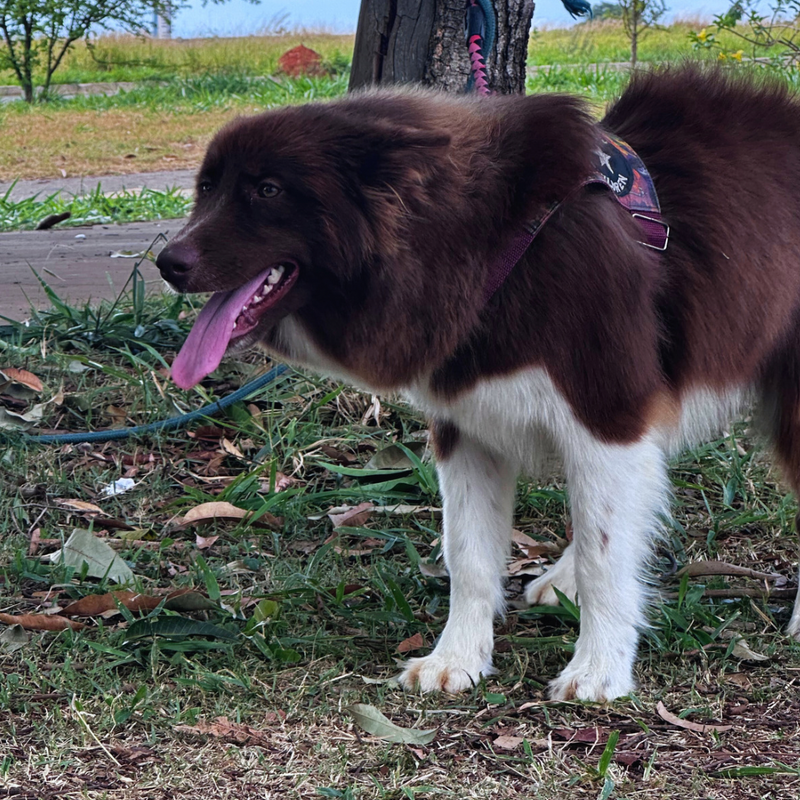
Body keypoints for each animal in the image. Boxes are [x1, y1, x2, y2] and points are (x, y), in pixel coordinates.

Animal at [158, 69, 800, 700]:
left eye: (268, 190)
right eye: (207, 188)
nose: (168, 264)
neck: (498, 242)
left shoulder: (607, 412)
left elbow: (606, 556)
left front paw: (599, 669)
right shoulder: (466, 426)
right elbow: (467, 553)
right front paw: (457, 658)